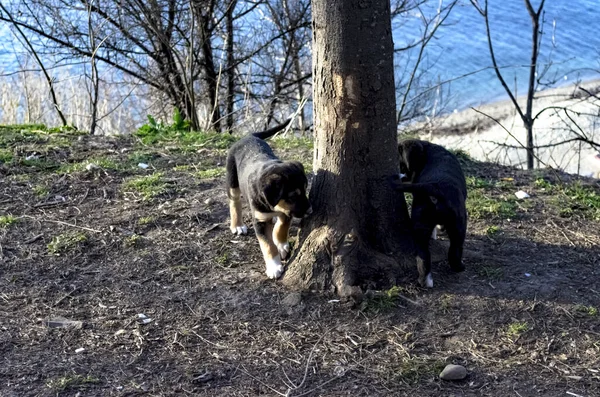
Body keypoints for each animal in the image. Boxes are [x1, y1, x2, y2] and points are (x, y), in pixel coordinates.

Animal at [224, 120, 310, 278]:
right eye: (293, 196)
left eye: (305, 190)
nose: (309, 210)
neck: (273, 205)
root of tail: (249, 136)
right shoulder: (260, 220)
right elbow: (267, 245)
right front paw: (274, 267)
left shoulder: (286, 212)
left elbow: (281, 228)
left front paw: (281, 245)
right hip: (232, 179)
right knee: (234, 202)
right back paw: (237, 225)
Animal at [394, 139, 468, 288]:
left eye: (402, 167)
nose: (400, 175)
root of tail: (435, 186)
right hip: (459, 225)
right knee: (455, 249)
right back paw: (459, 267)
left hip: (420, 224)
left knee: (423, 256)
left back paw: (425, 281)